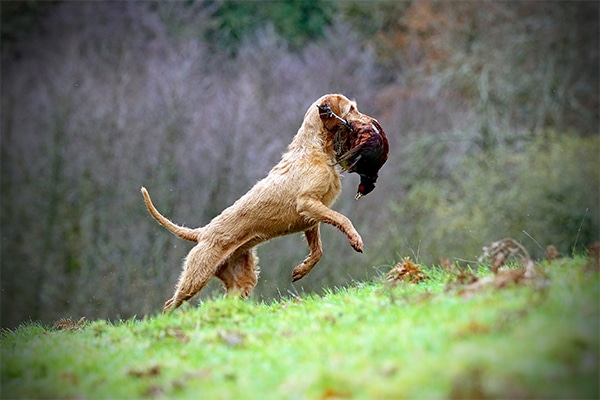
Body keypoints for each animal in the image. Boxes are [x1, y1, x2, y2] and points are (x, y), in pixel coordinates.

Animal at [142, 94, 386, 312]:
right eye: (352, 109)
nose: (371, 123)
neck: (314, 148)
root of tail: (202, 233)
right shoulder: (307, 203)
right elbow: (342, 219)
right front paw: (355, 239)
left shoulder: (310, 217)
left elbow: (318, 251)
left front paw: (302, 269)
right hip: (196, 275)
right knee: (169, 304)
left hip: (241, 279)